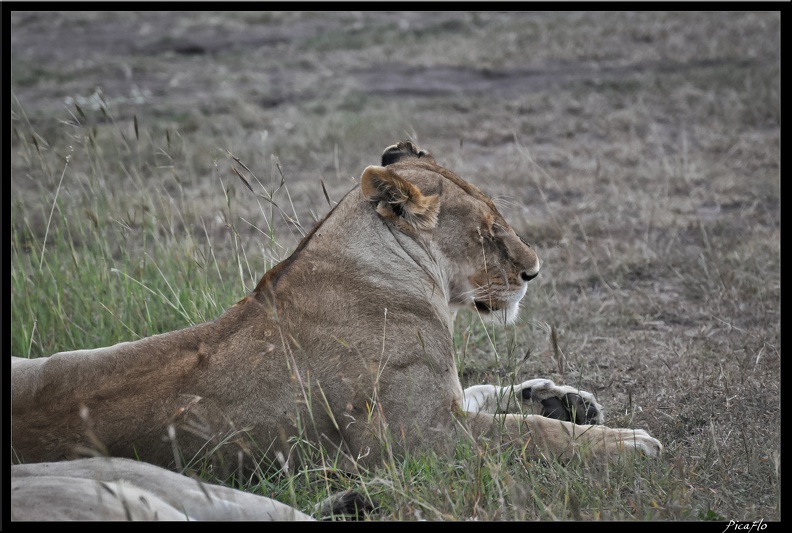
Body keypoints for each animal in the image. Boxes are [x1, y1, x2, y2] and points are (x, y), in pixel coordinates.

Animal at [10, 141, 664, 520]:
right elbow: (529, 436)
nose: (533, 272)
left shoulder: (440, 409)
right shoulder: (414, 441)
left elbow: (488, 395)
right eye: (487, 231)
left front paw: (564, 399)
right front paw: (625, 443)